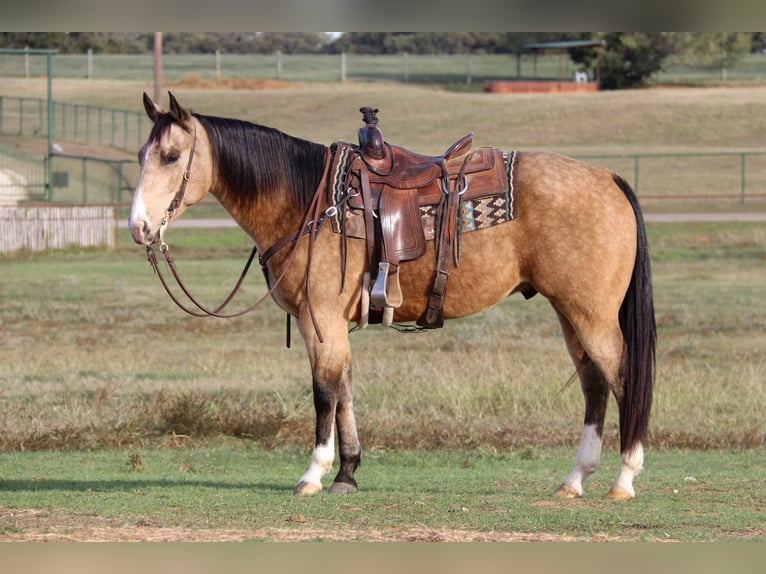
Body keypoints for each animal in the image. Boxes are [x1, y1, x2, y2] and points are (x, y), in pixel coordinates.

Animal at [129, 92, 656, 502]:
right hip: (570, 314)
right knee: (594, 385)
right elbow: (344, 388)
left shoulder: (321, 319)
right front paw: (347, 473)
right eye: (140, 155)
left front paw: (314, 473)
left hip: (591, 315)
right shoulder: (328, 325)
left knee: (622, 379)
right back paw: (575, 479)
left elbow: (324, 392)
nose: (139, 227)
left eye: (172, 157)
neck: (307, 202)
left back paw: (624, 479)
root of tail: (607, 177)